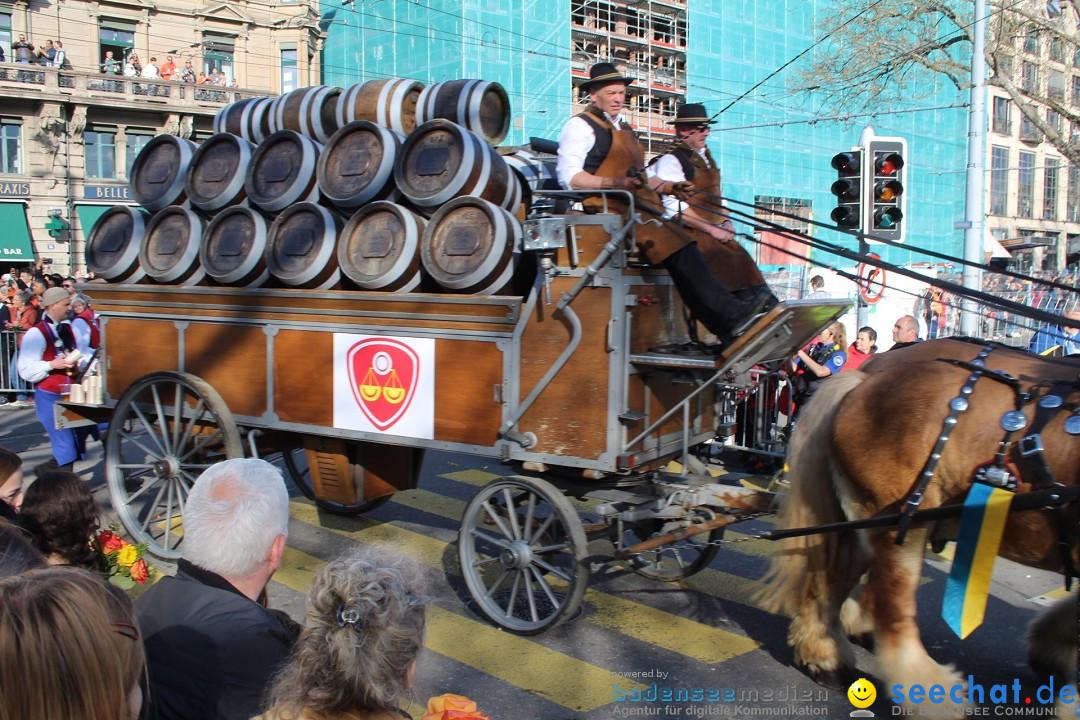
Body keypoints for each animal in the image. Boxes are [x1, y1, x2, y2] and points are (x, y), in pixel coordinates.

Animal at [760, 338, 1080, 708]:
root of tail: (863, 382)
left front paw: (1051, 651)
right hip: (899, 523)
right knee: (890, 605)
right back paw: (930, 695)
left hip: (863, 520)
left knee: (831, 580)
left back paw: (828, 658)